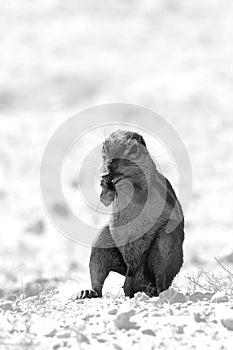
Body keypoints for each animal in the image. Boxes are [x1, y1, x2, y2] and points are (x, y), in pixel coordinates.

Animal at [77, 130, 185, 300]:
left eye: (133, 149)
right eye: (104, 148)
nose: (110, 167)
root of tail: (135, 274)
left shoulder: (147, 184)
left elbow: (138, 192)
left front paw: (120, 181)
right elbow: (105, 199)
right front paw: (103, 180)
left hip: (165, 242)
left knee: (161, 277)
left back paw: (154, 290)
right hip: (101, 243)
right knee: (98, 281)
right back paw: (88, 292)